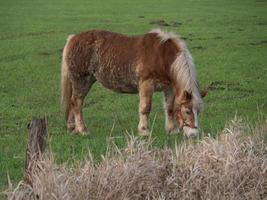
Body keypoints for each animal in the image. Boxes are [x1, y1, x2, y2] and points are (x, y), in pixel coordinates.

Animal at [60, 28, 207, 138]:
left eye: (199, 111)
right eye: (187, 111)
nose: (193, 134)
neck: (162, 56)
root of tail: (72, 39)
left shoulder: (169, 88)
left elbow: (170, 108)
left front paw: (172, 130)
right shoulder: (147, 85)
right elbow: (145, 108)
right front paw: (144, 131)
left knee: (73, 103)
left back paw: (72, 128)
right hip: (81, 81)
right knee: (77, 103)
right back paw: (82, 130)